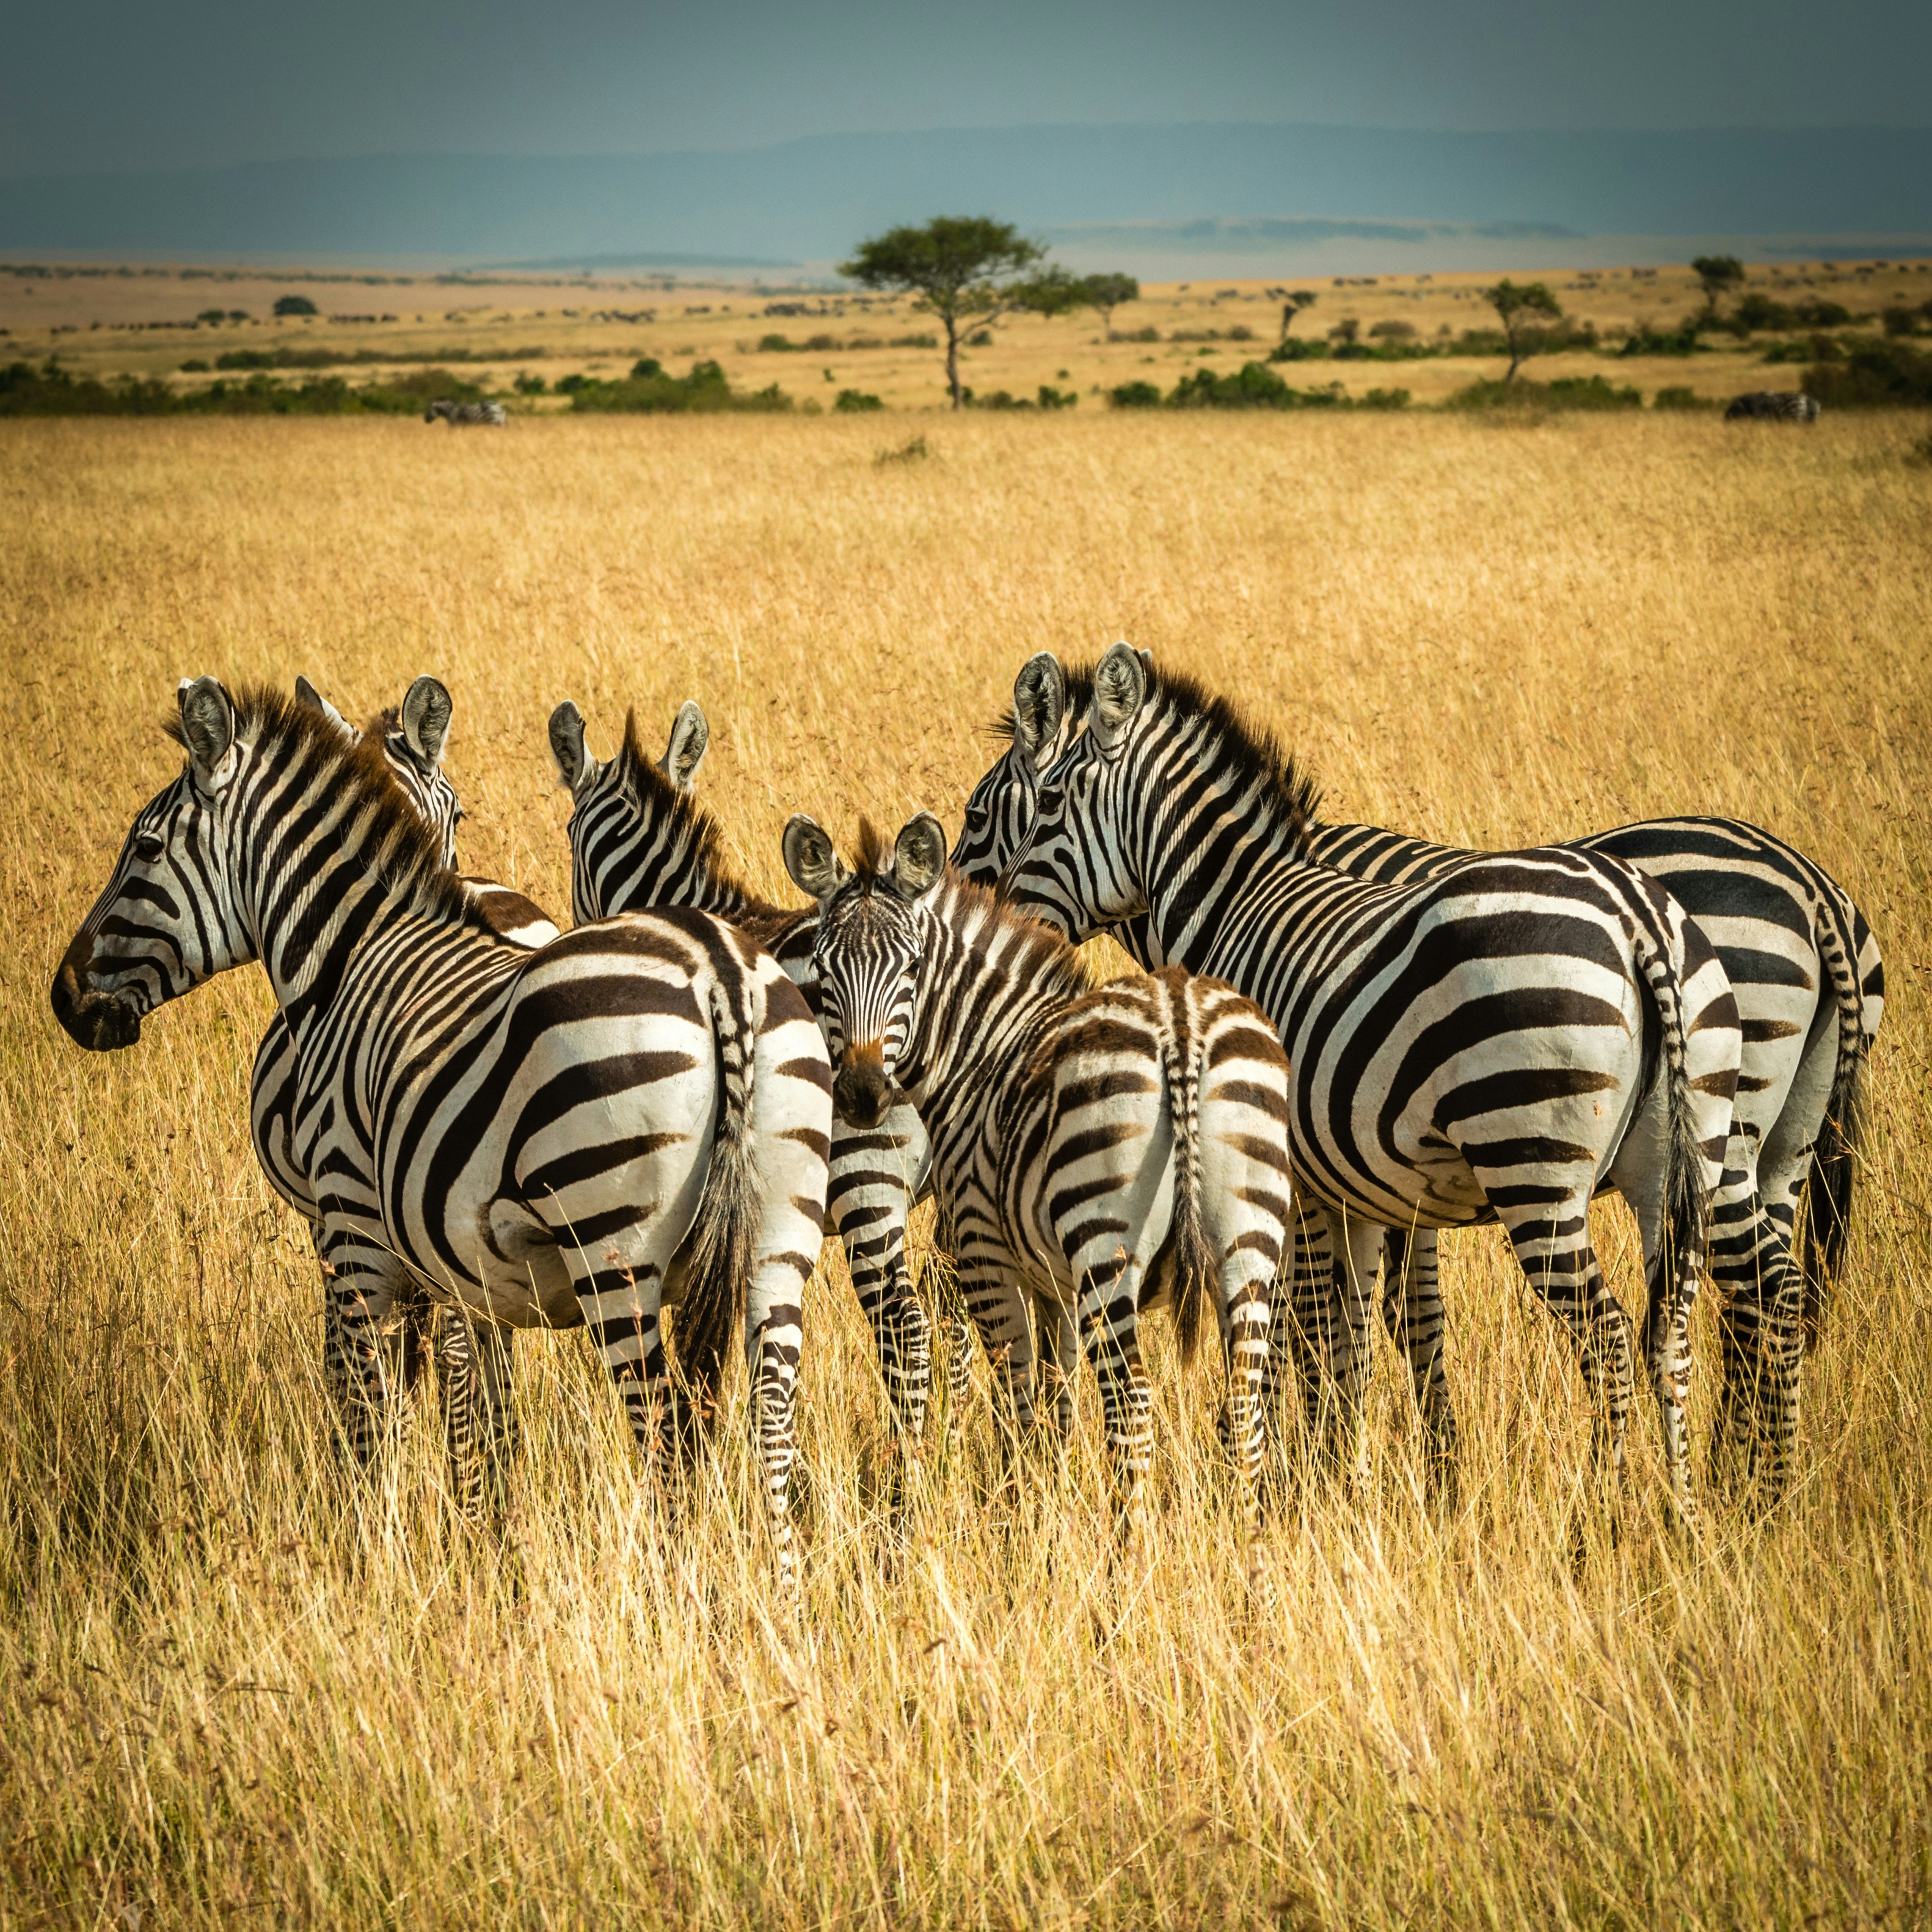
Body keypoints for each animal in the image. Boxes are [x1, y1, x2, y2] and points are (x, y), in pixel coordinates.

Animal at [424, 400, 508, 427]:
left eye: (428, 411)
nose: (426, 420)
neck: (450, 410)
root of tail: (499, 406)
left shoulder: (454, 424)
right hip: (500, 423)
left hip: (491, 422)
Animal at [782, 811, 1292, 1550]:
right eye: (822, 971)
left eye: (911, 967)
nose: (861, 1094)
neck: (982, 1048)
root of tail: (1179, 1018)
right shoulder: (1054, 1282)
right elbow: (1057, 1405)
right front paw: (1044, 1516)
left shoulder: (986, 1256)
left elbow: (1020, 1405)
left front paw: (1018, 1528)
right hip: (1247, 1243)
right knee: (1244, 1409)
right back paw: (1250, 1566)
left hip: (1105, 1244)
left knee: (1132, 1407)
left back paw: (1125, 1566)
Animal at [967, 649, 1878, 1493]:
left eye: (1009, 810)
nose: (982, 914)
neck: (1238, 900)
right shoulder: (1380, 1182)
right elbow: (1386, 1322)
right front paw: (1386, 1469)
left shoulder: (1298, 1172)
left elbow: (1312, 1321)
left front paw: (1300, 1471)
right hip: (1731, 1149)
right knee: (1730, 1308)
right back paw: (1719, 1497)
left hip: (1540, 1155)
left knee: (1635, 1326)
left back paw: (1631, 1504)